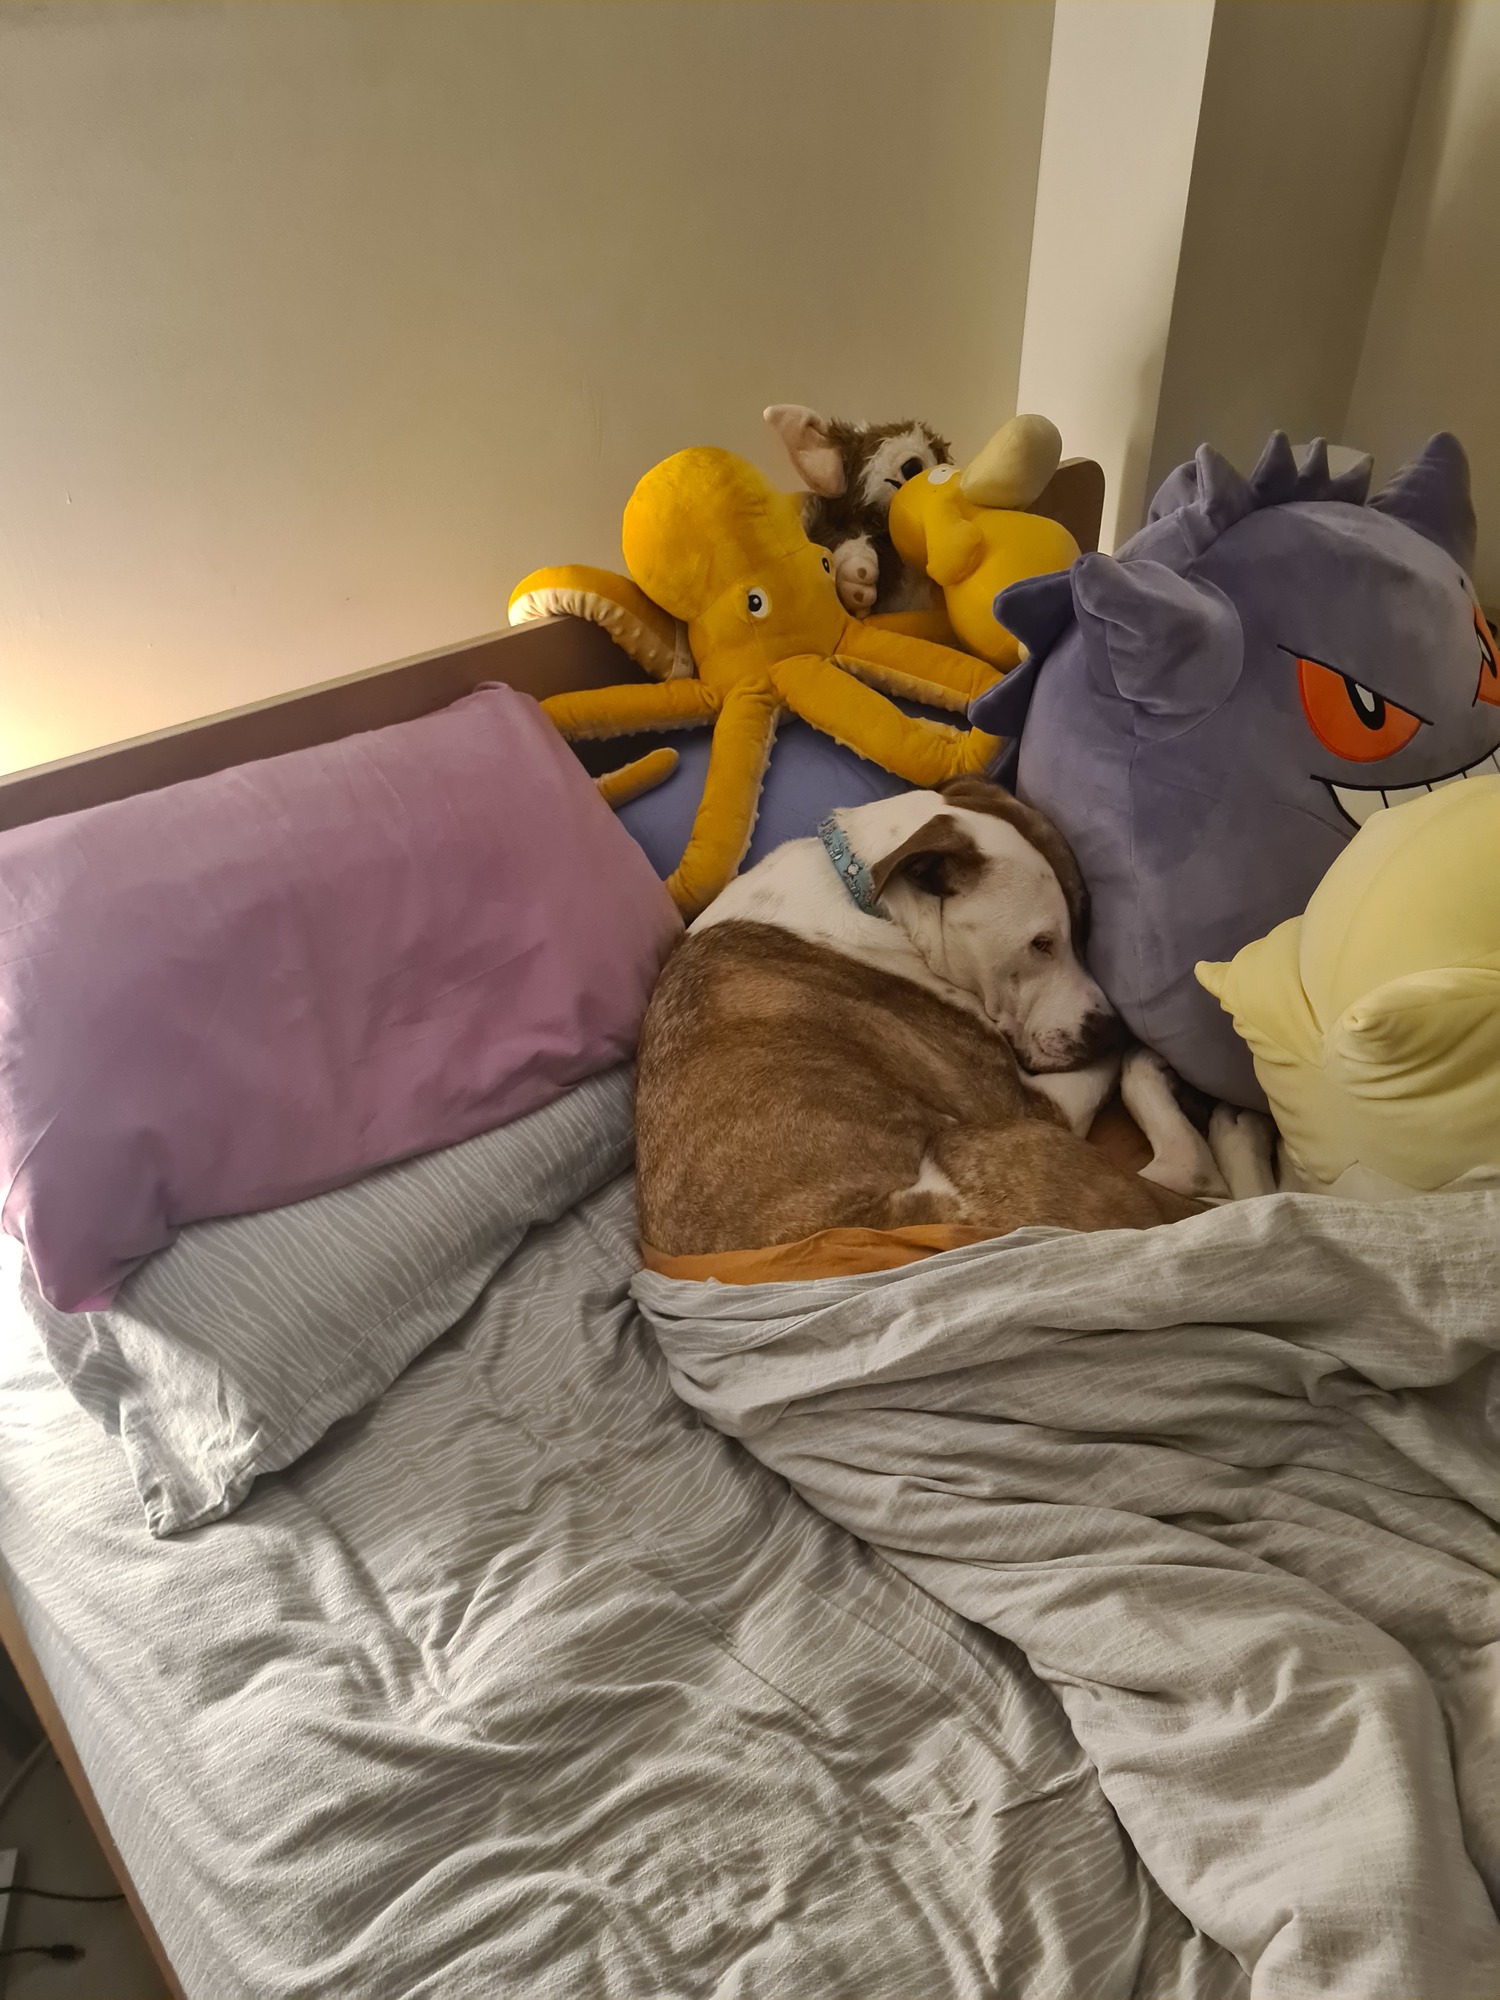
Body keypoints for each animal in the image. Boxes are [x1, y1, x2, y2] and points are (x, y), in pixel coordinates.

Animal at [636, 776, 1280, 1256]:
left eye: (1084, 926)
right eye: (1041, 943)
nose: (1110, 1026)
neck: (870, 894)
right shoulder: (1023, 1102)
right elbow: (1105, 1075)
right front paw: (1135, 1053)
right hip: (993, 1146)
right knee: (1201, 1179)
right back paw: (1228, 1126)